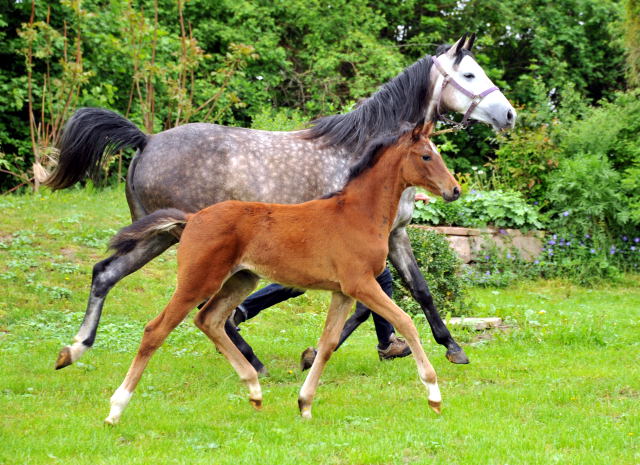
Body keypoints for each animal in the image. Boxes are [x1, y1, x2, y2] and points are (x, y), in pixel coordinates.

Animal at [104, 120, 460, 424]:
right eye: (426, 155)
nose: (454, 190)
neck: (358, 213)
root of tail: (191, 219)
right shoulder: (360, 284)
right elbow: (405, 322)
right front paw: (434, 394)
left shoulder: (342, 291)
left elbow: (328, 343)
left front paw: (304, 403)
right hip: (198, 280)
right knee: (156, 330)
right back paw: (116, 408)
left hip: (241, 279)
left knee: (209, 319)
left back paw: (254, 388)